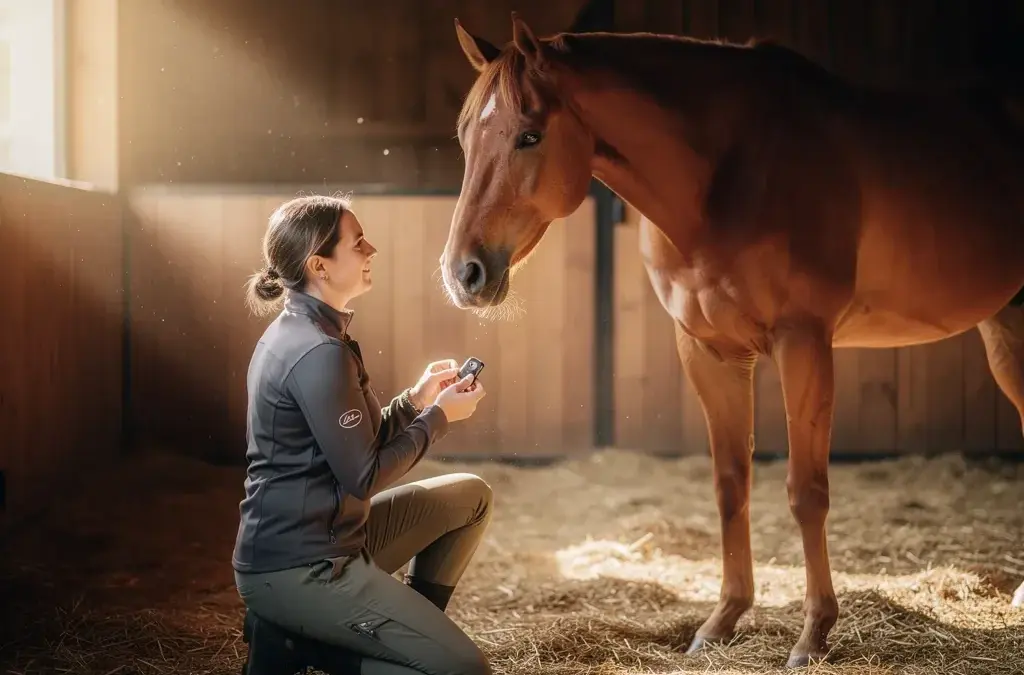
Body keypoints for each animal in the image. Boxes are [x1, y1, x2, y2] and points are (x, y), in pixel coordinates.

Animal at [437, 11, 1024, 669]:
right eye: (465, 137)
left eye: (529, 135)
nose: (463, 273)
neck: (727, 173)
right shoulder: (708, 349)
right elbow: (729, 485)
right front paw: (721, 622)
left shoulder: (804, 343)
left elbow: (806, 491)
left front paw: (813, 634)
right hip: (1008, 326)